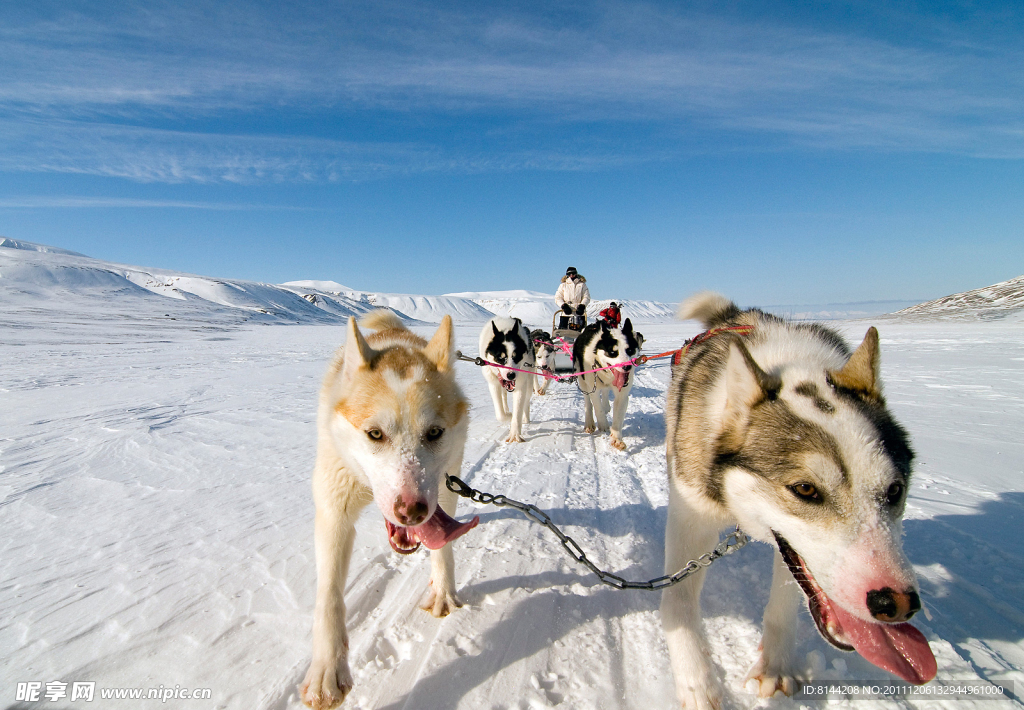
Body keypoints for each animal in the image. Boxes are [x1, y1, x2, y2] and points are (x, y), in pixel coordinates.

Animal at [573, 319, 634, 450]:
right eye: (612, 352)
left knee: (605, 393)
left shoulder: (622, 395)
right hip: (582, 381)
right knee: (588, 403)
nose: (627, 366)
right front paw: (603, 424)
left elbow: (618, 417)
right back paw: (589, 422)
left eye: (630, 350)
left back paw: (606, 406)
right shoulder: (593, 388)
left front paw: (616, 438)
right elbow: (597, 408)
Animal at [663, 290, 937, 704]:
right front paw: (697, 685)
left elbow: (785, 602)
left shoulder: (791, 549)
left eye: (895, 490)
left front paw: (775, 667)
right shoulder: (691, 520)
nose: (897, 604)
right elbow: (679, 606)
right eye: (805, 489)